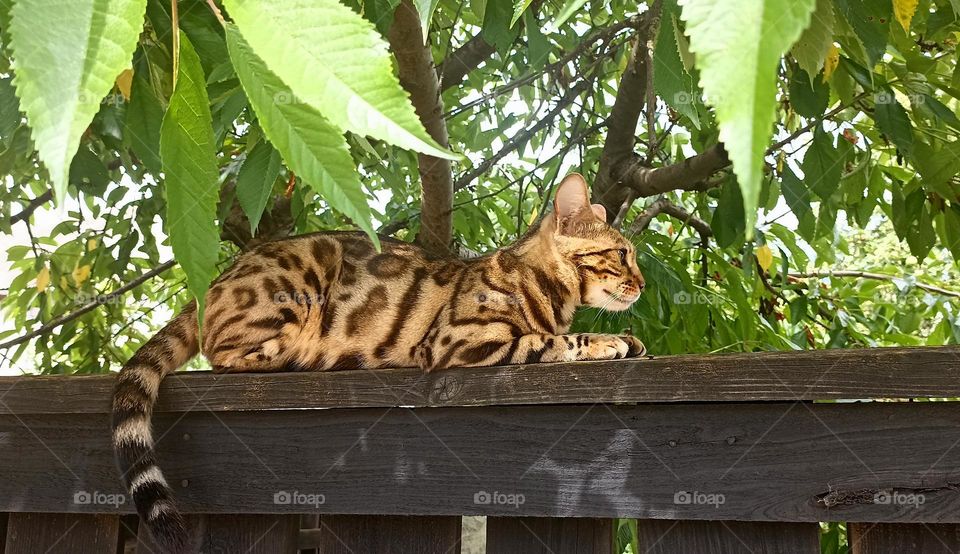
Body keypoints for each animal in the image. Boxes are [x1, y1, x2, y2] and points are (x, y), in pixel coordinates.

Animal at [110, 171, 644, 548]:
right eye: (622, 254)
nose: (640, 284)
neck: (548, 290)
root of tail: (216, 282)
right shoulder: (460, 341)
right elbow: (549, 341)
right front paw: (605, 342)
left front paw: (630, 340)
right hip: (308, 272)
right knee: (225, 356)